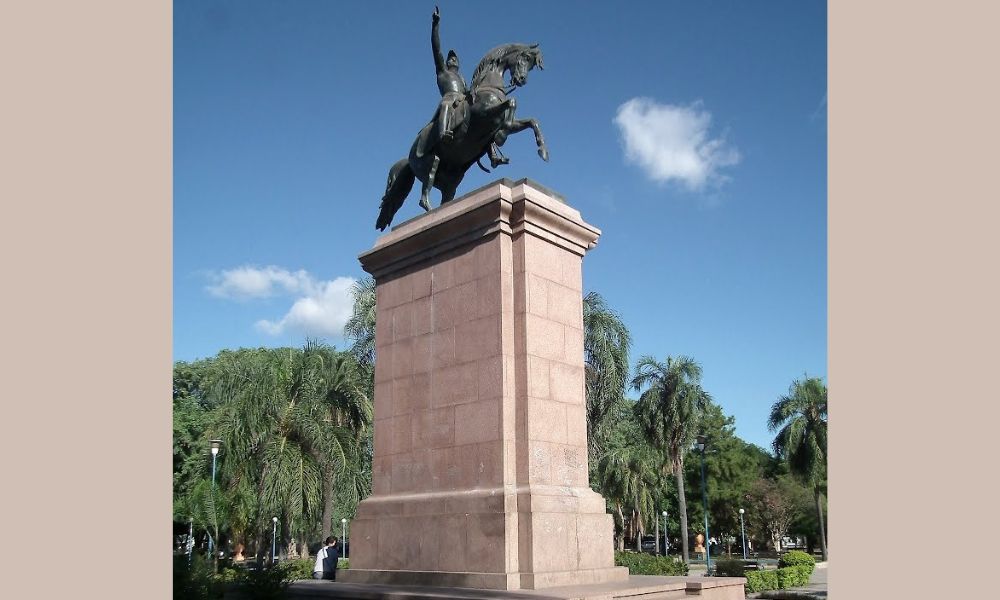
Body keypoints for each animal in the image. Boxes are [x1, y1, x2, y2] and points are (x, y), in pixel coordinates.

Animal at [376, 43, 548, 231]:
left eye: (531, 64)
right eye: (525, 57)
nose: (521, 79)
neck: (489, 88)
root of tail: (408, 158)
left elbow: (532, 121)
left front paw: (542, 151)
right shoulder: (482, 113)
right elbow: (512, 102)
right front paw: (502, 135)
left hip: (452, 181)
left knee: (445, 198)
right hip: (430, 162)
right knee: (424, 196)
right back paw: (431, 215)